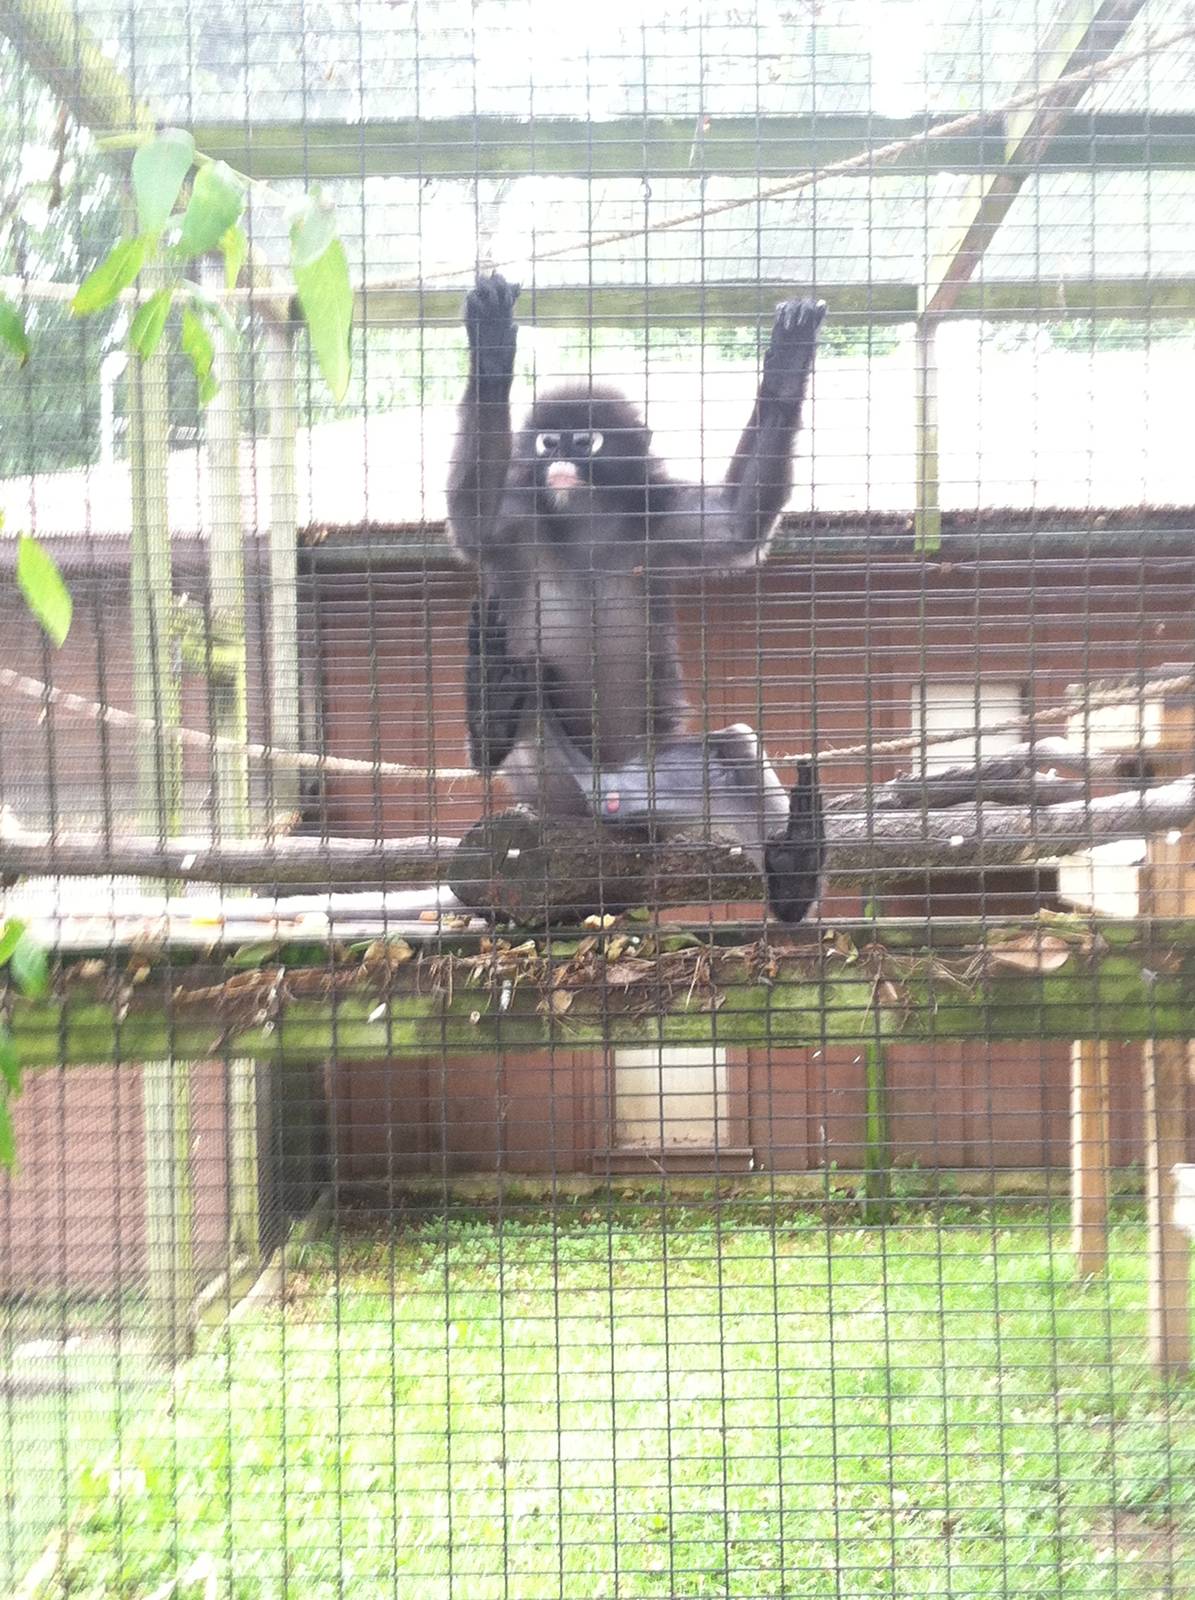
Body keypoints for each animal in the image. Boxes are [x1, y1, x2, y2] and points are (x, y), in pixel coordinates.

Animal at [446, 271, 825, 923]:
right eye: (547, 442)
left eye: (584, 440)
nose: (561, 461)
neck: (586, 522)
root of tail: (605, 796)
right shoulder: (515, 523)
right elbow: (471, 519)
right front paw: (491, 352)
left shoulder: (659, 516)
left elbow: (738, 523)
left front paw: (784, 363)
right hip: (550, 783)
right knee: (523, 693)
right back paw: (494, 711)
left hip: (651, 788)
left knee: (730, 753)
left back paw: (794, 871)